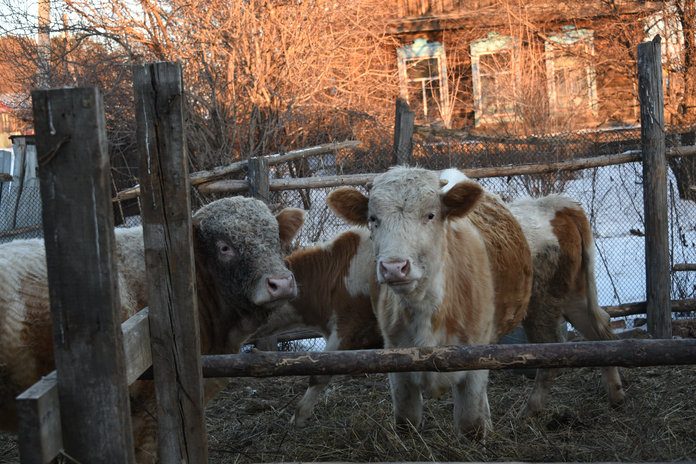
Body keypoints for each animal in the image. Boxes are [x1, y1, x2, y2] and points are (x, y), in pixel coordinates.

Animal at [326, 168, 532, 438]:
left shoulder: (476, 358)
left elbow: (471, 424)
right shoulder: (396, 363)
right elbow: (407, 420)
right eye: (373, 218)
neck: (427, 313)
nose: (394, 267)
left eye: (430, 215)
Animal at [508, 192, 628, 414]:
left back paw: (528, 412)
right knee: (602, 334)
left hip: (540, 304)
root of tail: (557, 205)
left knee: (550, 352)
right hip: (573, 298)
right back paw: (616, 397)